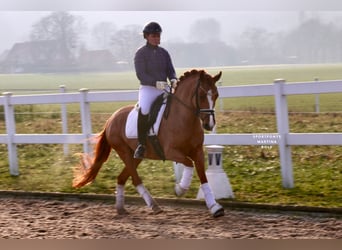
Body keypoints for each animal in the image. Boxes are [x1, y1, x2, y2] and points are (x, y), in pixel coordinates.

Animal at [72, 68, 224, 217]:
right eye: (202, 96)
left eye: (216, 95)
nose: (209, 125)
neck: (184, 119)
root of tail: (111, 119)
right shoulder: (171, 152)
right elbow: (189, 164)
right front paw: (180, 189)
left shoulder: (198, 151)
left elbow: (203, 177)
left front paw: (215, 207)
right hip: (124, 152)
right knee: (135, 179)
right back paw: (154, 206)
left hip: (136, 156)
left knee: (121, 178)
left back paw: (121, 209)